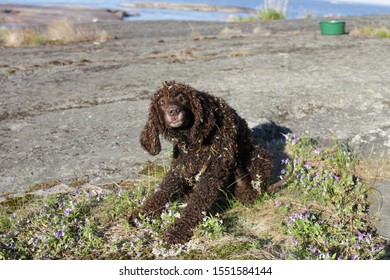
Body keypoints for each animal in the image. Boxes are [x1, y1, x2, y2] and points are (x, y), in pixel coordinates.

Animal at [129, 80, 274, 243]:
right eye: (161, 102)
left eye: (182, 98)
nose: (173, 111)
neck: (192, 141)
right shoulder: (181, 167)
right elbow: (162, 191)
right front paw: (142, 213)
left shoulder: (213, 171)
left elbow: (196, 203)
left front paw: (177, 231)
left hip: (257, 156)